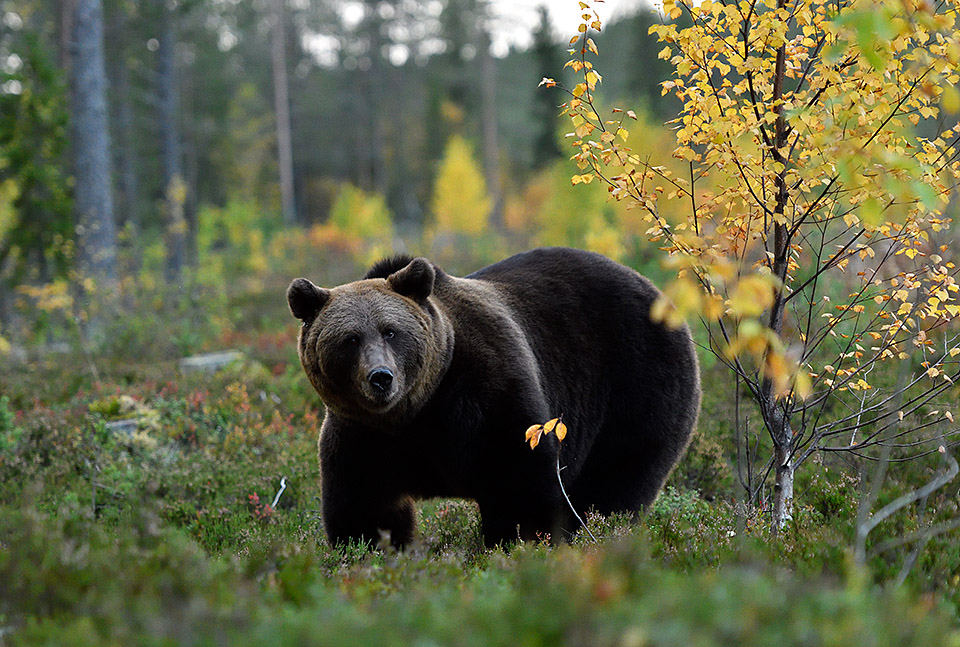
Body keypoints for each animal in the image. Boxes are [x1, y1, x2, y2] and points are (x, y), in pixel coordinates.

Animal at [284, 247, 696, 548]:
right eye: (350, 339)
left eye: (390, 331)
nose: (381, 378)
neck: (416, 411)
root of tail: (655, 290)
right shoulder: (362, 435)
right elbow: (364, 506)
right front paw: (369, 548)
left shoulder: (485, 397)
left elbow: (518, 483)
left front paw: (522, 540)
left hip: (637, 383)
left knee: (615, 481)